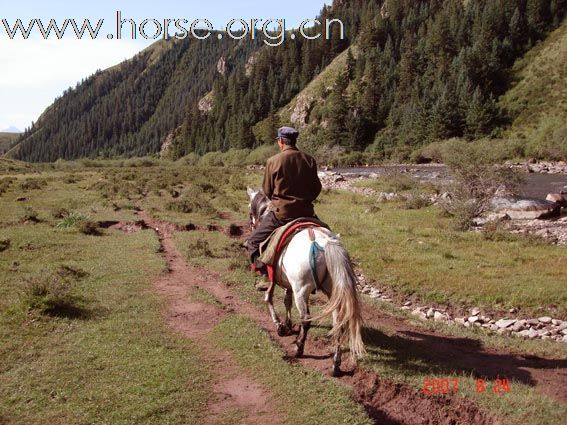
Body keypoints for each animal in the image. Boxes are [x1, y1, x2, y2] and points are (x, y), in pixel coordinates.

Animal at [247, 187, 364, 372]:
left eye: (249, 209)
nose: (251, 224)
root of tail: (325, 243)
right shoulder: (288, 283)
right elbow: (286, 300)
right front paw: (287, 323)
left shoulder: (274, 277)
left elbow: (269, 298)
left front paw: (279, 326)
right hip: (333, 291)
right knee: (338, 322)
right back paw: (336, 363)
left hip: (301, 291)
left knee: (306, 319)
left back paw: (299, 348)